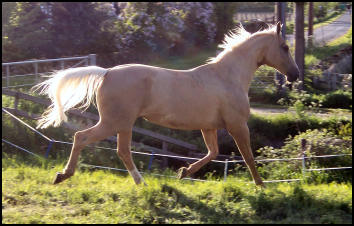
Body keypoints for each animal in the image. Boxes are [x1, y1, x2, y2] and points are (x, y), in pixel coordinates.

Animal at [33, 22, 298, 187]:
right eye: (285, 47)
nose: (295, 75)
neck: (227, 77)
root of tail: (107, 72)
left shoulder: (209, 127)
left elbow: (213, 152)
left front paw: (184, 172)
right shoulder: (237, 125)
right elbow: (248, 156)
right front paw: (261, 185)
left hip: (122, 125)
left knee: (121, 151)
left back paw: (138, 182)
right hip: (115, 123)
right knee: (83, 138)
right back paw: (65, 175)